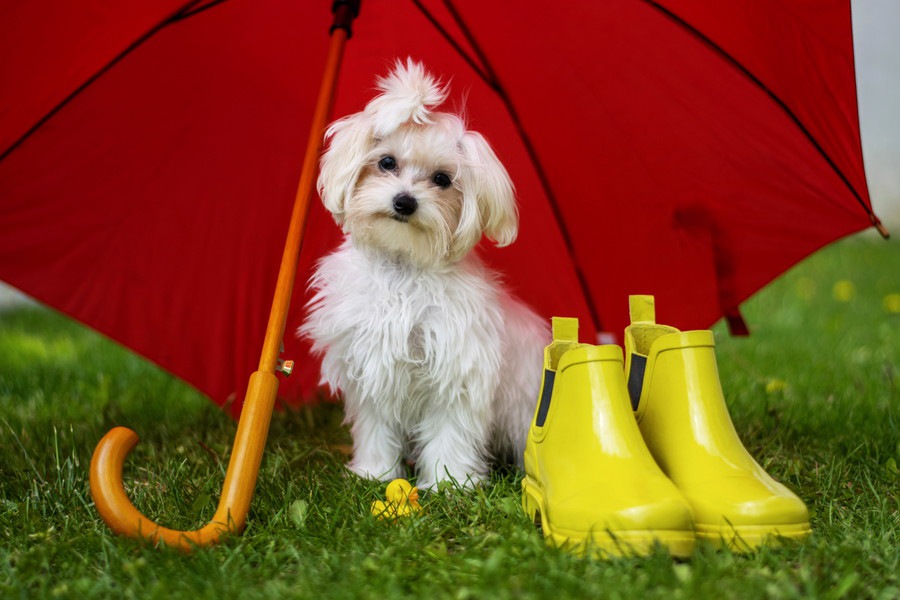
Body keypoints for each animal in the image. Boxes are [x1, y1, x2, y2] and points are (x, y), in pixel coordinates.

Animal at [298, 61, 544, 490]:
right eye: (386, 162)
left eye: (443, 179)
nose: (404, 202)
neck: (403, 267)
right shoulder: (373, 367)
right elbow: (376, 428)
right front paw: (374, 472)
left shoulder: (456, 374)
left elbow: (449, 432)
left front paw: (450, 484)